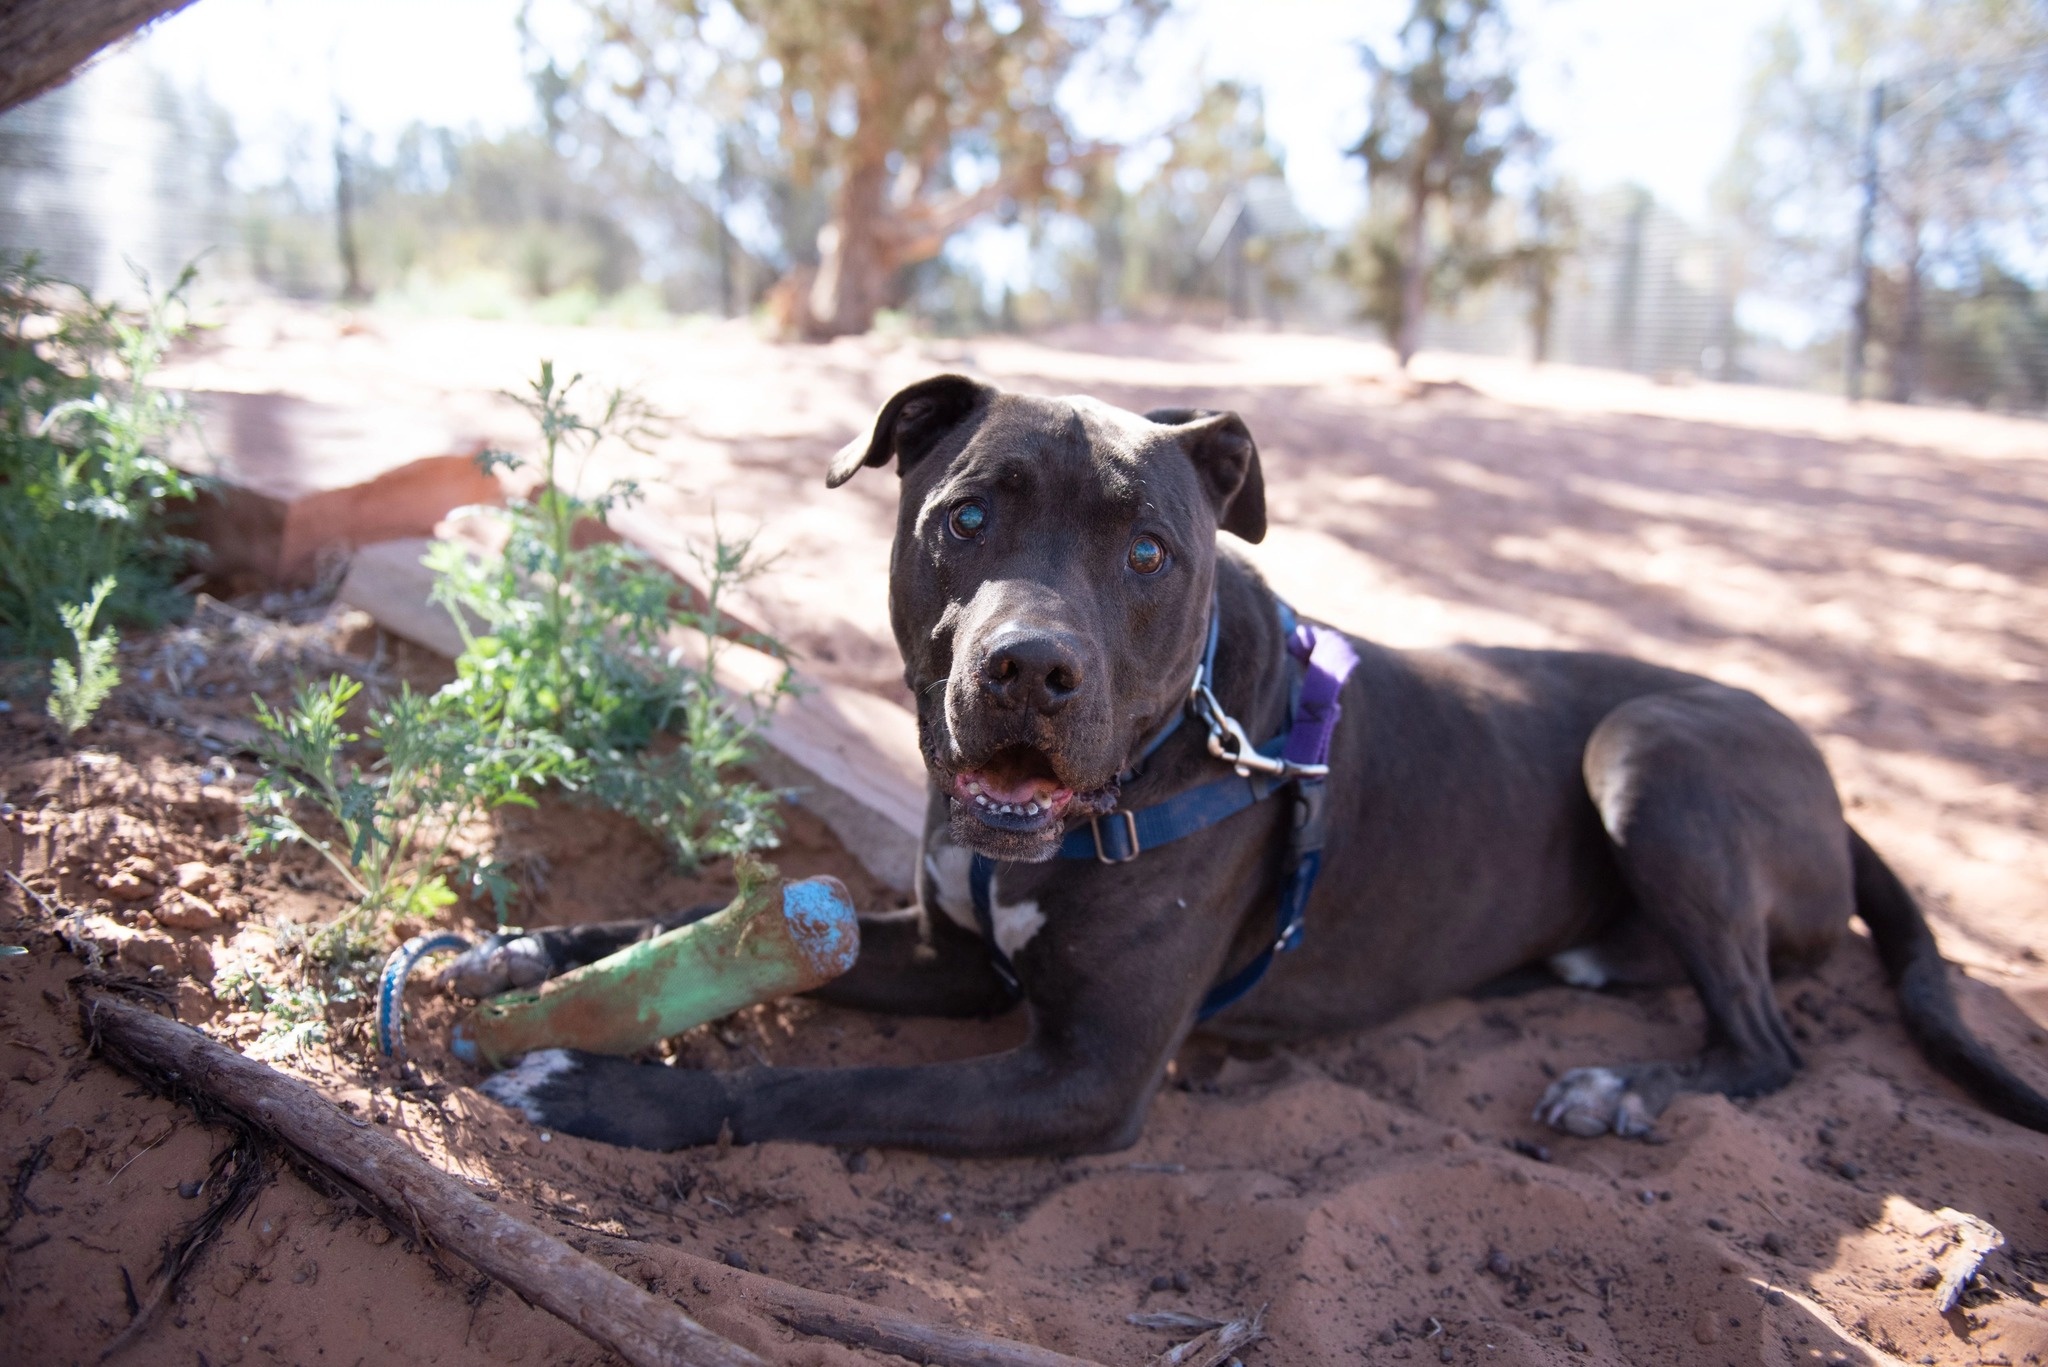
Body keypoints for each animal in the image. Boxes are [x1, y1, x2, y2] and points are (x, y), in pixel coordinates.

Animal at [471, 377, 2048, 1155]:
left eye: (1149, 553)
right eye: (968, 517)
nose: (1030, 669)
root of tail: (1830, 777)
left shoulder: (1086, 1075)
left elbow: (825, 1090)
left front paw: (611, 1095)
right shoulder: (952, 955)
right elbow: (691, 926)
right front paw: (527, 949)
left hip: (1649, 747)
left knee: (1771, 1041)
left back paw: (1624, 1091)